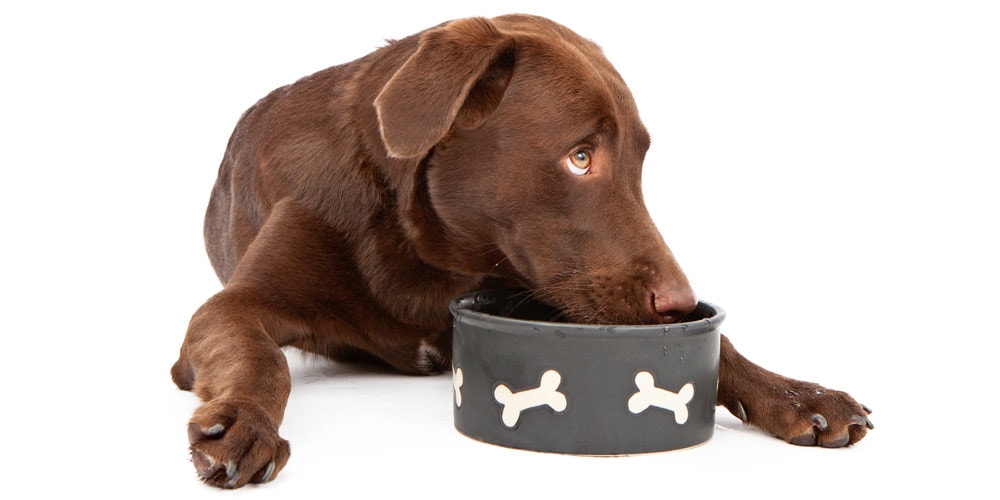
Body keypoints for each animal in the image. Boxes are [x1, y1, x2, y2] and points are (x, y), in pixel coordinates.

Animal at [174, 14, 876, 488]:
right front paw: (243, 421)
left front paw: (798, 395)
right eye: (580, 157)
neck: (424, 254)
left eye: (640, 164)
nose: (679, 306)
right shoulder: (232, 307)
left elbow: (724, 348)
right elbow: (261, 356)